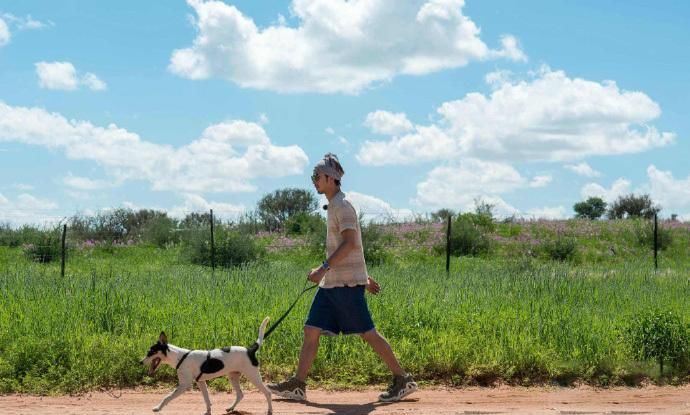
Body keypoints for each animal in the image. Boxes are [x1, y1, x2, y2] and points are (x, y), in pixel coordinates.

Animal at [138, 316, 270, 414]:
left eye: (151, 352)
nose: (140, 362)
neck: (179, 356)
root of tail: (250, 350)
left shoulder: (184, 385)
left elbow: (168, 396)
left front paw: (157, 408)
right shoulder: (201, 382)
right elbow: (206, 399)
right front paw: (208, 411)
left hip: (253, 376)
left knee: (267, 392)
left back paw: (270, 410)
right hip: (233, 376)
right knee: (240, 394)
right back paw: (231, 408)